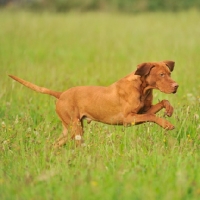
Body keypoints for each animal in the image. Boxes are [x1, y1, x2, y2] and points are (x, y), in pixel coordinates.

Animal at [9, 60, 178, 148]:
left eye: (169, 73)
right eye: (161, 75)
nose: (176, 86)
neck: (143, 88)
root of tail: (61, 94)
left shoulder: (144, 109)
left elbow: (163, 102)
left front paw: (169, 110)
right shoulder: (128, 118)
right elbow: (152, 116)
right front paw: (167, 124)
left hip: (69, 129)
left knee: (55, 144)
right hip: (75, 128)